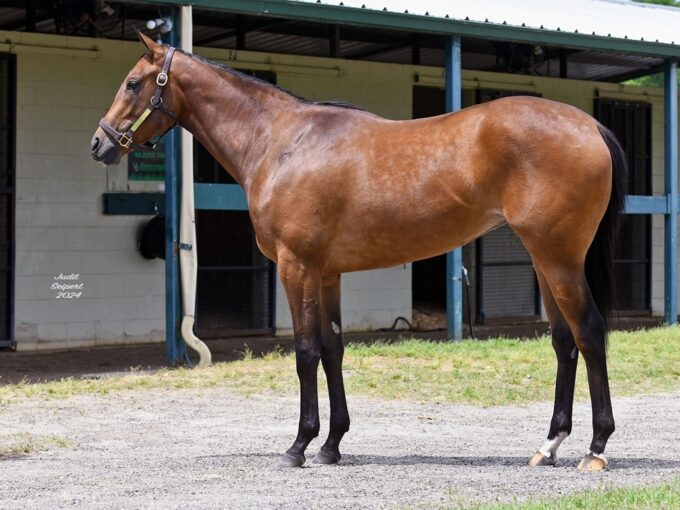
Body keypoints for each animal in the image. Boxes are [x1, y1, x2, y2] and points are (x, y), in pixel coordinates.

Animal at [91, 31, 628, 470]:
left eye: (133, 83)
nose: (100, 144)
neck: (282, 142)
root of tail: (590, 126)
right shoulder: (327, 274)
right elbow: (333, 348)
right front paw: (331, 445)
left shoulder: (297, 267)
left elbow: (305, 351)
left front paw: (299, 446)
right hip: (545, 260)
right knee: (563, 342)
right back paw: (549, 445)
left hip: (558, 258)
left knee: (589, 333)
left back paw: (596, 449)